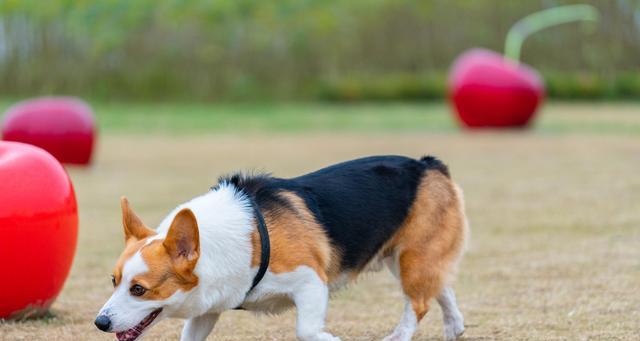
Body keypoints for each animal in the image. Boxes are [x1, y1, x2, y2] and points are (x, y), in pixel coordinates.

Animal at [94, 155, 464, 340]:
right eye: (114, 281)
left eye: (139, 289)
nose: (100, 323)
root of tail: (427, 164)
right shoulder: (207, 310)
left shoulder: (311, 283)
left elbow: (306, 330)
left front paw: (329, 340)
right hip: (404, 258)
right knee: (439, 286)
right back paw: (454, 326)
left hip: (411, 257)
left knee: (418, 302)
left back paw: (399, 335)